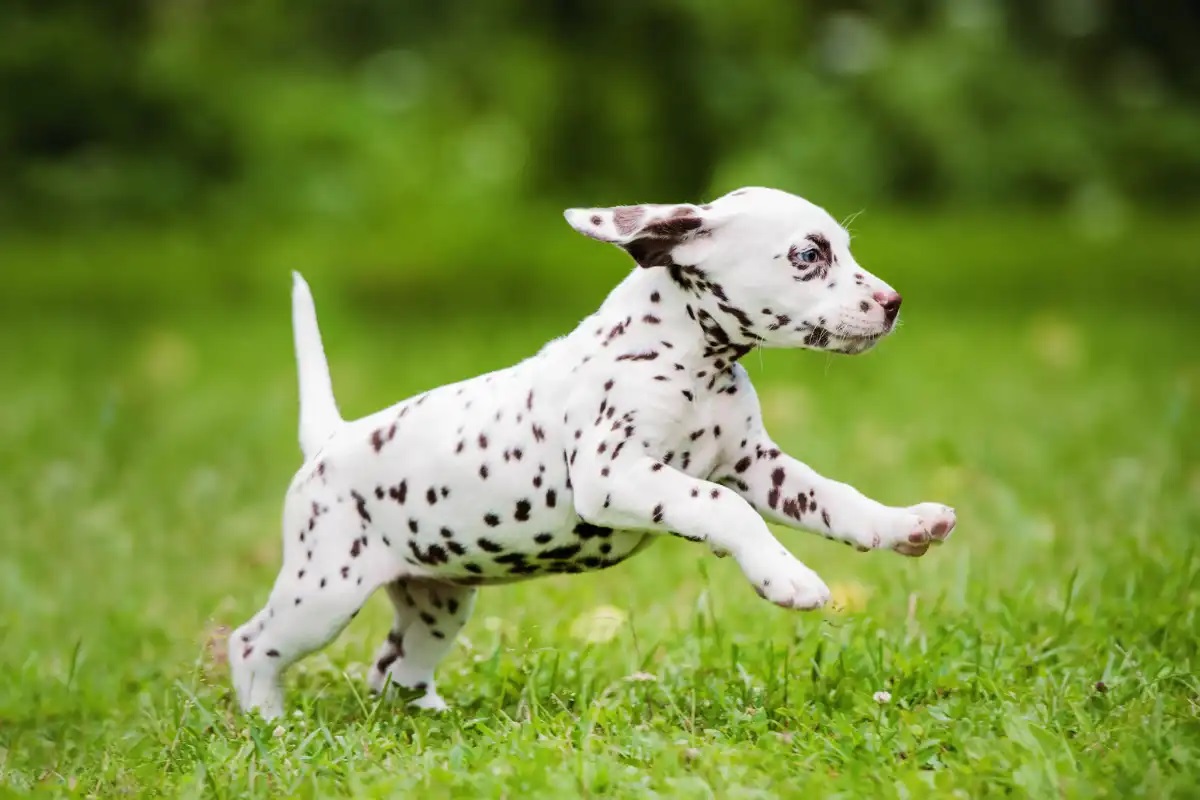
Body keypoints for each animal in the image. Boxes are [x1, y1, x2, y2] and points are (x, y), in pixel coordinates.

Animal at [226, 185, 955, 719]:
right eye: (808, 255)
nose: (893, 303)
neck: (690, 357)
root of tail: (332, 438)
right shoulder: (615, 475)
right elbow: (720, 507)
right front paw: (788, 578)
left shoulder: (756, 467)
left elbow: (834, 499)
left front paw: (904, 524)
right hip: (323, 592)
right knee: (250, 643)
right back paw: (267, 723)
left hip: (438, 601)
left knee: (394, 668)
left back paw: (426, 716)